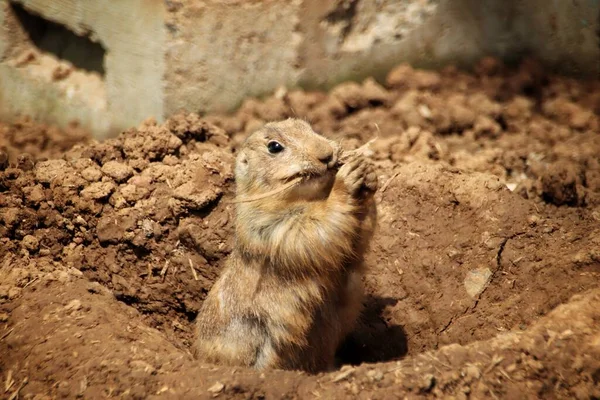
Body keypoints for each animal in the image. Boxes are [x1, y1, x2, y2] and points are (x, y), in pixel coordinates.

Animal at [192, 118, 378, 372]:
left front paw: (368, 170)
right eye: (274, 147)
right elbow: (309, 230)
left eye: (307, 126)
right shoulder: (267, 225)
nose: (327, 154)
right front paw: (347, 177)